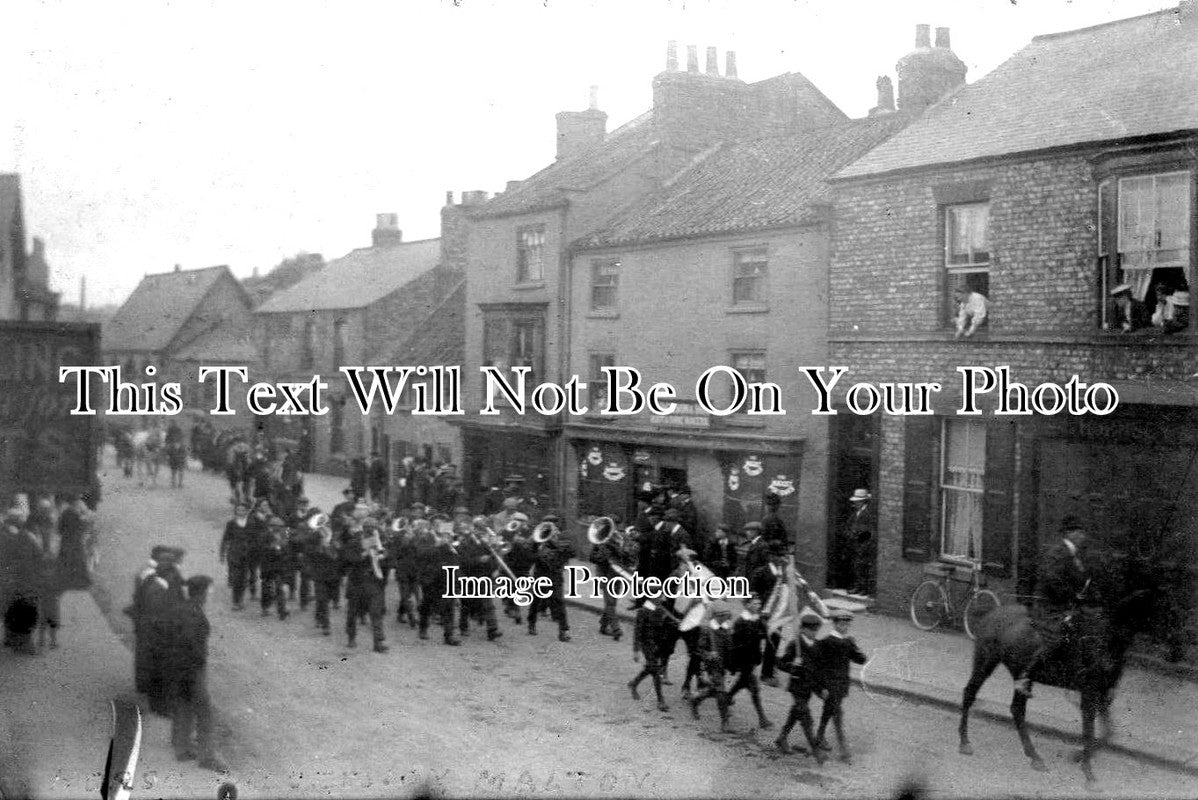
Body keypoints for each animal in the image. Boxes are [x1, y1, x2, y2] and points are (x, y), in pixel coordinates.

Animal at [953, 553, 1150, 785]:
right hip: (985, 662)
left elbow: (1107, 732)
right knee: (970, 693)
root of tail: (992, 613)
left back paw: (1034, 756)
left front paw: (1078, 757)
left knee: (1017, 709)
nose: (1106, 664)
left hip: (1021, 675)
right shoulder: (1088, 692)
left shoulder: (1101, 692)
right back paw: (965, 742)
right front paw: (1088, 773)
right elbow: (1090, 731)